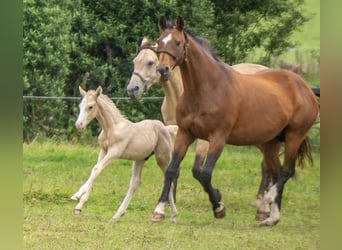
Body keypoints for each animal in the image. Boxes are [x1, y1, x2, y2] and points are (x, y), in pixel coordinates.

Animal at [73, 86, 179, 223]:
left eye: (90, 106)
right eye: (80, 105)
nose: (79, 125)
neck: (111, 128)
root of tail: (166, 129)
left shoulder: (114, 152)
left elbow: (96, 169)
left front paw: (77, 195)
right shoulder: (103, 150)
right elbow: (96, 170)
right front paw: (79, 206)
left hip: (162, 157)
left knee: (169, 181)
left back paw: (171, 215)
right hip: (140, 159)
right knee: (135, 183)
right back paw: (117, 215)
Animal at [151, 16, 320, 226]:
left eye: (177, 42)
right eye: (159, 41)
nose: (162, 70)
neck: (207, 89)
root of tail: (305, 87)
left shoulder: (218, 138)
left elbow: (205, 173)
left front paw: (218, 206)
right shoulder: (185, 134)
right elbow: (172, 170)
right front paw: (158, 210)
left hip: (294, 137)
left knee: (286, 172)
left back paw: (267, 202)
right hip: (270, 143)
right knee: (277, 172)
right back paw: (270, 217)